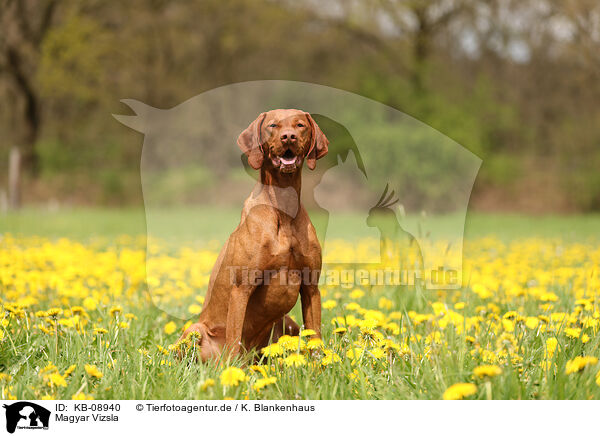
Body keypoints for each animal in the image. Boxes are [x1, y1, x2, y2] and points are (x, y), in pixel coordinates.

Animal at [178, 110, 328, 362]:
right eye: (273, 125)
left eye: (300, 125)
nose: (289, 137)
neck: (283, 210)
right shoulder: (241, 287)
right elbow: (234, 337)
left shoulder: (311, 287)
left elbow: (315, 337)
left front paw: (321, 366)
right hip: (195, 330)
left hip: (287, 323)